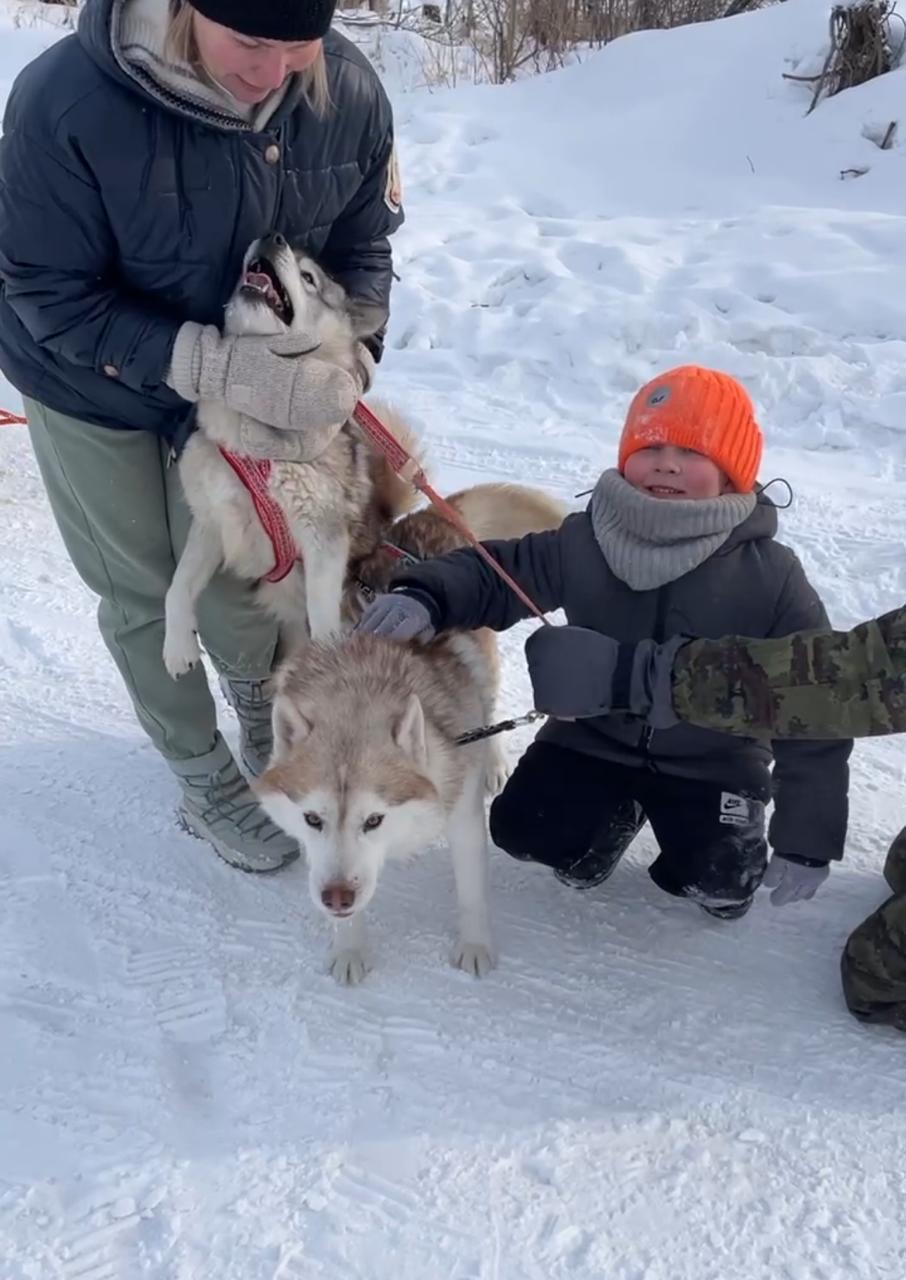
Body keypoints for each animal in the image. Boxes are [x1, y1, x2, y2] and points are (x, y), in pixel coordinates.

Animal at [163, 234, 422, 675]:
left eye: (309, 277)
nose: (273, 236)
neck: (256, 447)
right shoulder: (213, 523)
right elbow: (177, 588)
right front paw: (177, 646)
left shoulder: (323, 543)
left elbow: (322, 619)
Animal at [254, 483, 565, 983]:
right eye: (313, 819)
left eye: (374, 820)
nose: (336, 898)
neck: (360, 684)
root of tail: (429, 516)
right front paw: (350, 949)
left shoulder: (463, 817)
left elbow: (471, 894)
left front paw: (475, 947)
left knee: (489, 706)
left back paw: (494, 760)